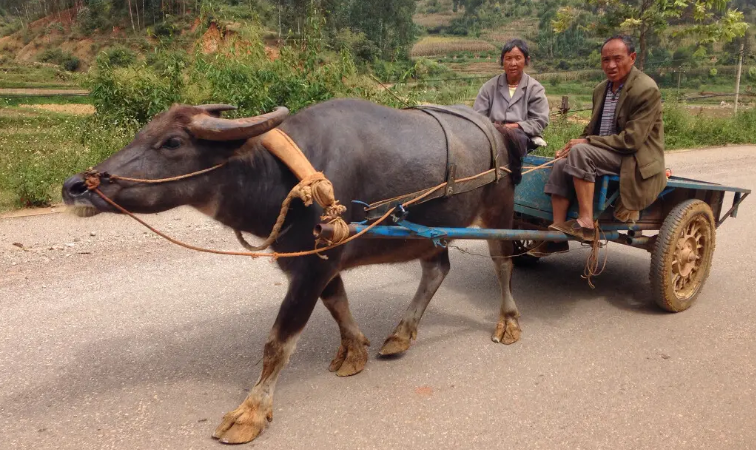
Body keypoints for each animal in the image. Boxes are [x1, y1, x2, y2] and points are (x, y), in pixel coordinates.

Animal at [62, 97, 524, 442]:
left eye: (172, 142)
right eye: (141, 133)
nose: (75, 186)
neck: (292, 180)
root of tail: (499, 131)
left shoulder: (313, 268)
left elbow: (279, 342)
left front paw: (249, 413)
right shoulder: (311, 261)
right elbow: (338, 305)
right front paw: (354, 352)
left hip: (499, 208)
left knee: (502, 262)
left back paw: (507, 322)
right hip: (429, 231)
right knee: (437, 270)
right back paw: (400, 335)